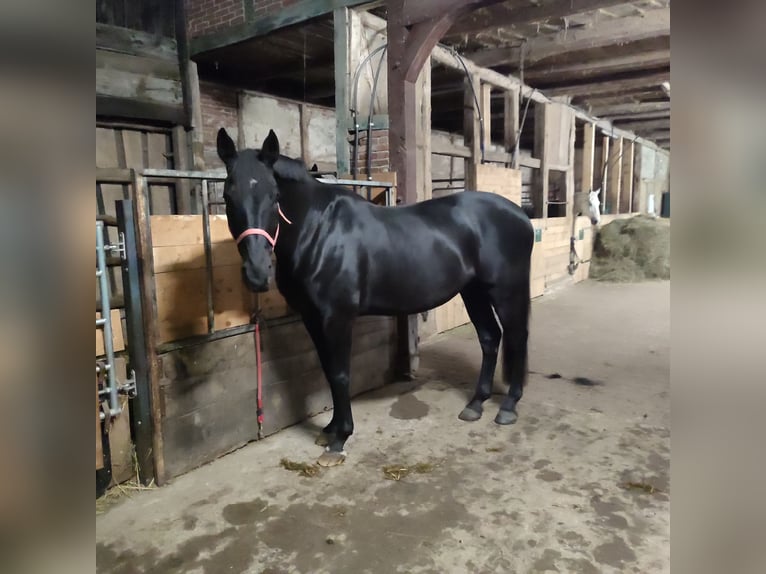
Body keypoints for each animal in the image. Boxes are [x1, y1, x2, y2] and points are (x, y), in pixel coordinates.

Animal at [217, 127, 534, 467]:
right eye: (228, 196)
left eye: (274, 196)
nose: (257, 273)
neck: (319, 230)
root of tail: (521, 216)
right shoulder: (312, 318)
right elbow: (328, 371)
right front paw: (329, 430)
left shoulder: (337, 317)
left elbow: (341, 374)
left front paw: (340, 438)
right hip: (473, 291)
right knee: (490, 337)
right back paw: (476, 404)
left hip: (506, 291)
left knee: (516, 337)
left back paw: (508, 407)